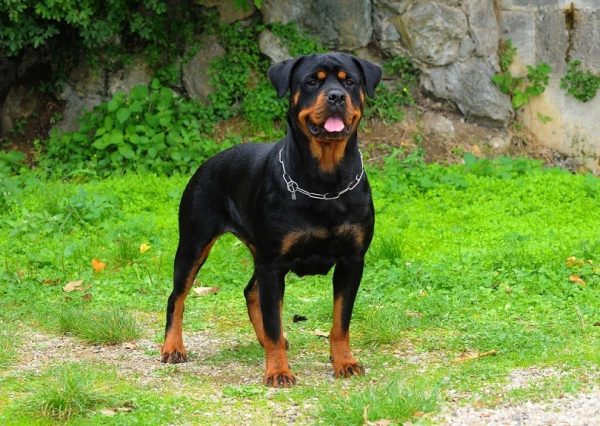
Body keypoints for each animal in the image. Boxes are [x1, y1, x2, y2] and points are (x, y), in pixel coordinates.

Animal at [162, 51, 382, 388]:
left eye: (350, 82)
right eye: (311, 81)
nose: (336, 96)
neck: (325, 182)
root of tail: (206, 163)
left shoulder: (351, 261)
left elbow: (340, 322)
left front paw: (344, 361)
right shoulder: (273, 264)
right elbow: (275, 323)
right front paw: (278, 371)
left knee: (251, 292)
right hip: (194, 243)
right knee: (178, 296)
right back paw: (173, 347)